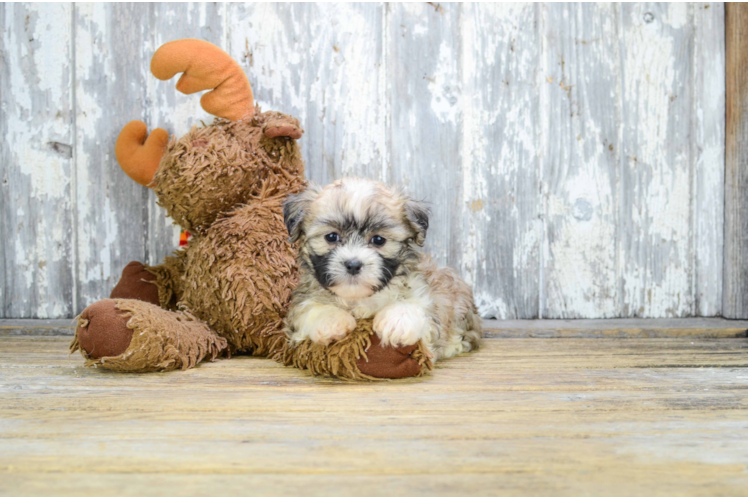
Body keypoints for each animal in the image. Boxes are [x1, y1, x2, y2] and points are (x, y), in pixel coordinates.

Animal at [284, 178, 482, 362]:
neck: (359, 298)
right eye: (331, 237)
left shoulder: (424, 296)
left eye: (378, 240)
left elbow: (415, 305)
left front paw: (397, 321)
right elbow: (308, 308)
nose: (353, 264)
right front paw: (331, 321)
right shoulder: (301, 301)